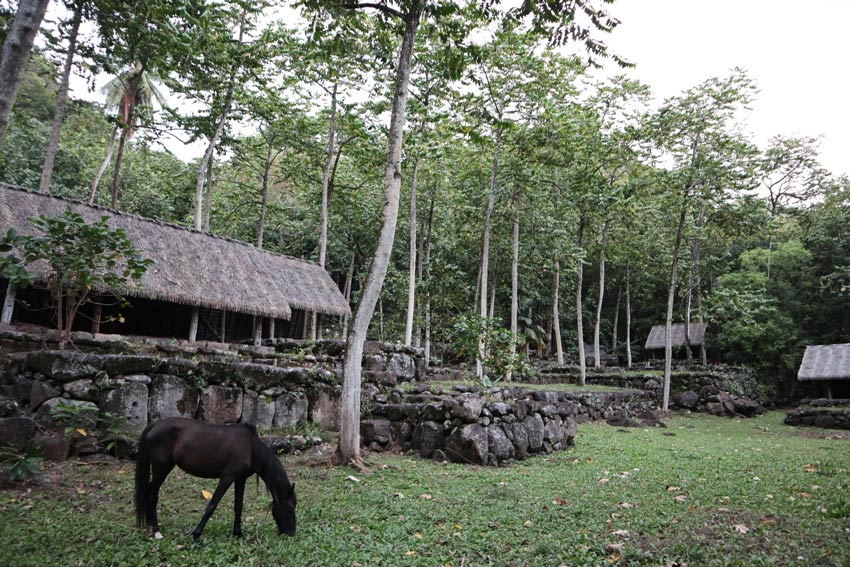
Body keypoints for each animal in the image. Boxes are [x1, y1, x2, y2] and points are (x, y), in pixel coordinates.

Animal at [134, 418, 296, 540]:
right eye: (290, 508)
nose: (291, 533)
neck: (251, 448)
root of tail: (154, 424)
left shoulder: (240, 479)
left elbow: (239, 506)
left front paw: (238, 533)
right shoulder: (227, 477)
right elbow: (212, 505)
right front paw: (196, 534)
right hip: (161, 469)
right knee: (152, 493)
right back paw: (156, 530)